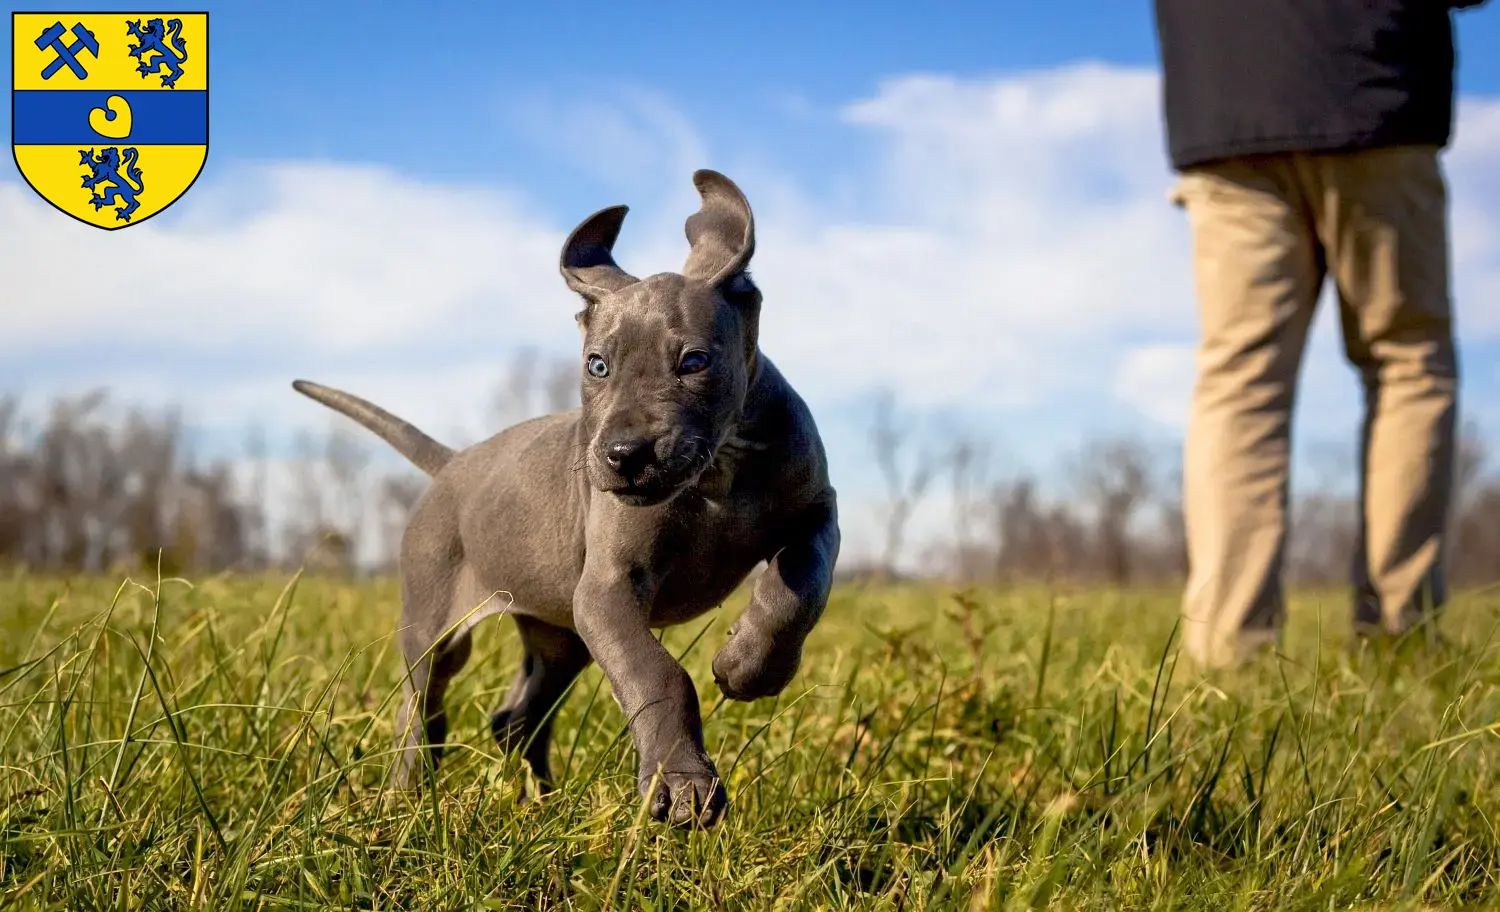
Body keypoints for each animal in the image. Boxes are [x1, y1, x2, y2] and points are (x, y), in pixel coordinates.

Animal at [286, 169, 840, 828]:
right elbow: (655, 672)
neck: (717, 474)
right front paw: (681, 782)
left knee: (517, 718)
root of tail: (452, 464)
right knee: (421, 709)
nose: (624, 455)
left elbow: (799, 588)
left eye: (694, 361)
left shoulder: (818, 514)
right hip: (436, 621)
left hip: (559, 635)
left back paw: (544, 806)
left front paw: (748, 665)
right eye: (597, 365)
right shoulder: (606, 589)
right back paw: (405, 803)